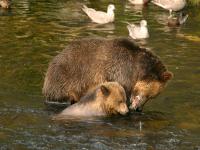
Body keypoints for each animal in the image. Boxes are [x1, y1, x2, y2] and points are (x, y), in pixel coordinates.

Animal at [43, 37, 173, 111]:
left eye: (152, 97)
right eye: (149, 94)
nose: (138, 108)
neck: (137, 71)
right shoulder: (120, 71)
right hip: (66, 78)